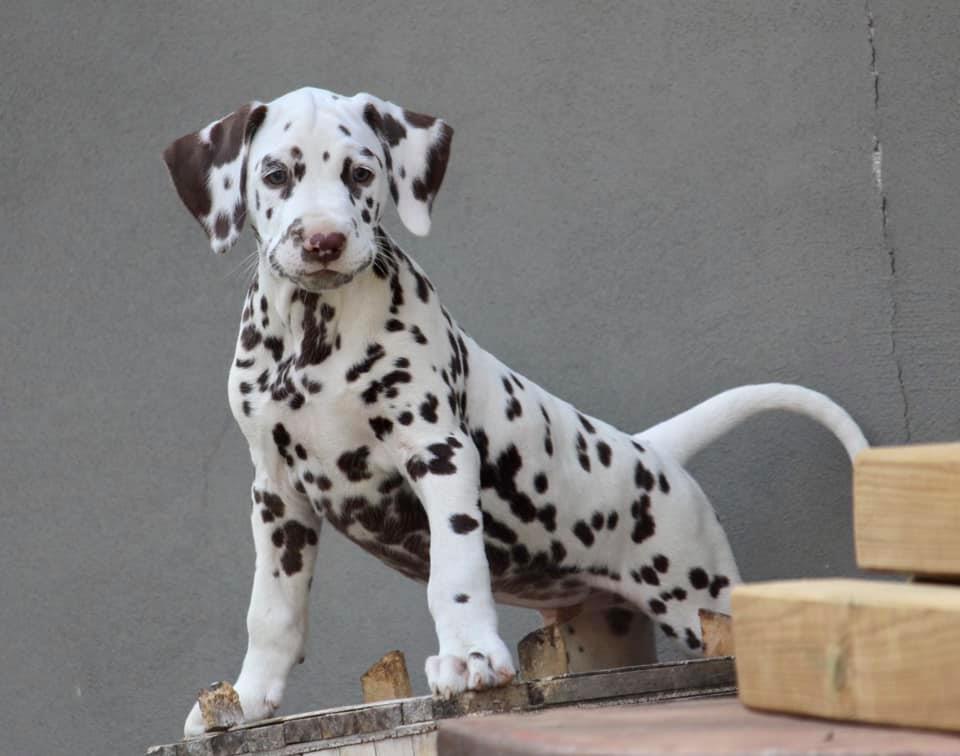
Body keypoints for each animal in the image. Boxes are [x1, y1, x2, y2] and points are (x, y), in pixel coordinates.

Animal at [165, 85, 872, 736]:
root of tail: (654, 448)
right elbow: (271, 610)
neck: (315, 338)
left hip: (701, 595)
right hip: (604, 632)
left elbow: (455, 569)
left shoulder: (438, 452)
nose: (323, 240)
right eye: (275, 175)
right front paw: (246, 699)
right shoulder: (277, 494)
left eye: (360, 173)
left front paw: (470, 656)